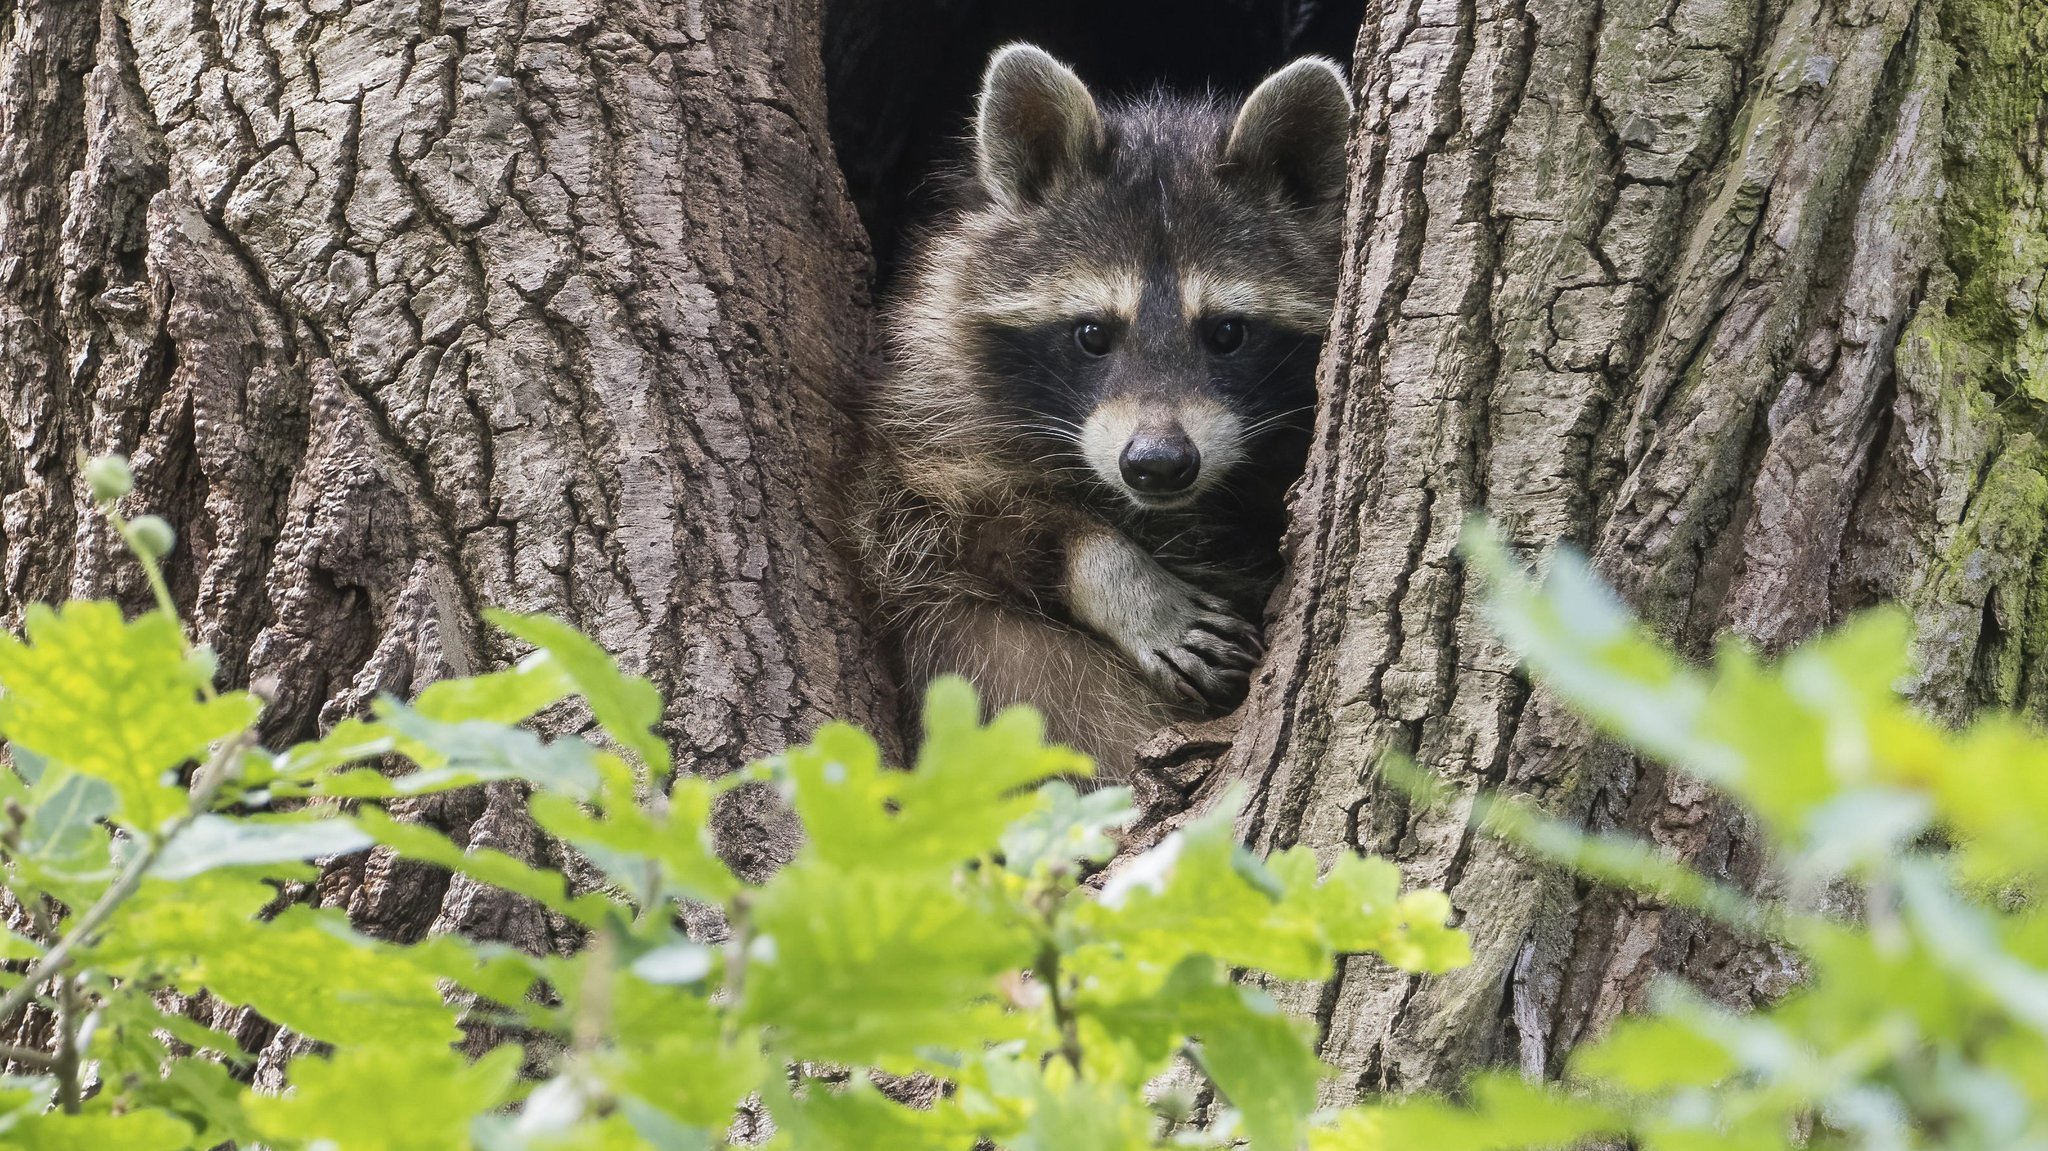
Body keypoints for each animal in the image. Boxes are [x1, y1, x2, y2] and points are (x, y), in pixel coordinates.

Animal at [851, 49, 1351, 774]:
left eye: (1227, 333)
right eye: (1092, 333)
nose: (1158, 463)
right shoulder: (925, 413)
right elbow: (933, 521)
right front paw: (1117, 579)